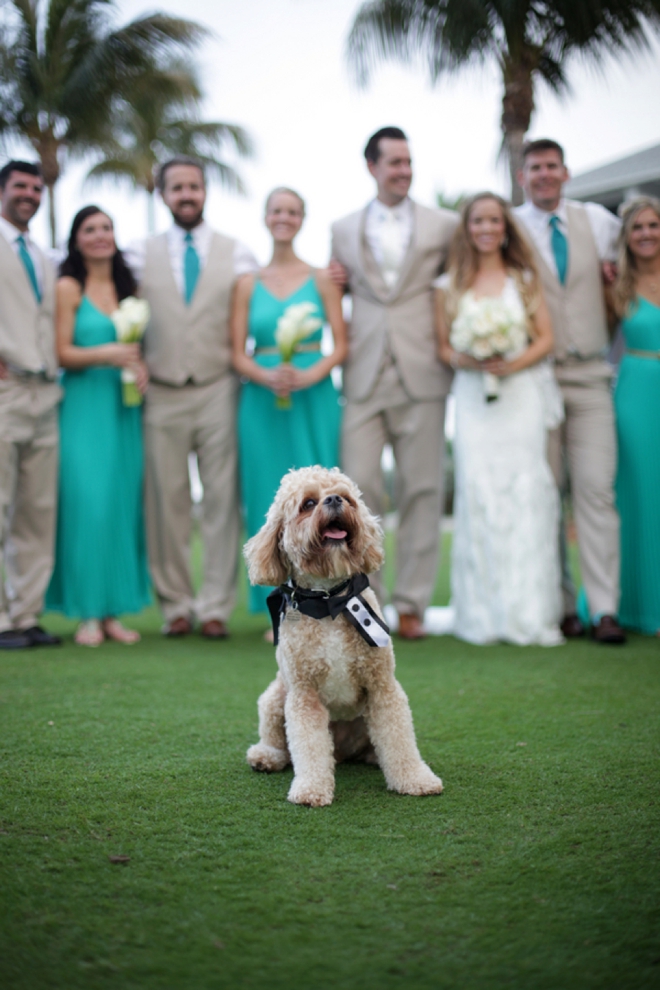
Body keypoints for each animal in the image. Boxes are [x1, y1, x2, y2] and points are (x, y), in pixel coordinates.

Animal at [245, 466, 446, 808]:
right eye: (308, 504)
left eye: (347, 497)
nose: (334, 500)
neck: (330, 602)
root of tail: (340, 752)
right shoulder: (304, 696)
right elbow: (309, 747)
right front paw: (311, 789)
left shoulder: (383, 687)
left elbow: (399, 740)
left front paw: (415, 779)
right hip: (275, 697)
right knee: (278, 741)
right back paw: (266, 757)